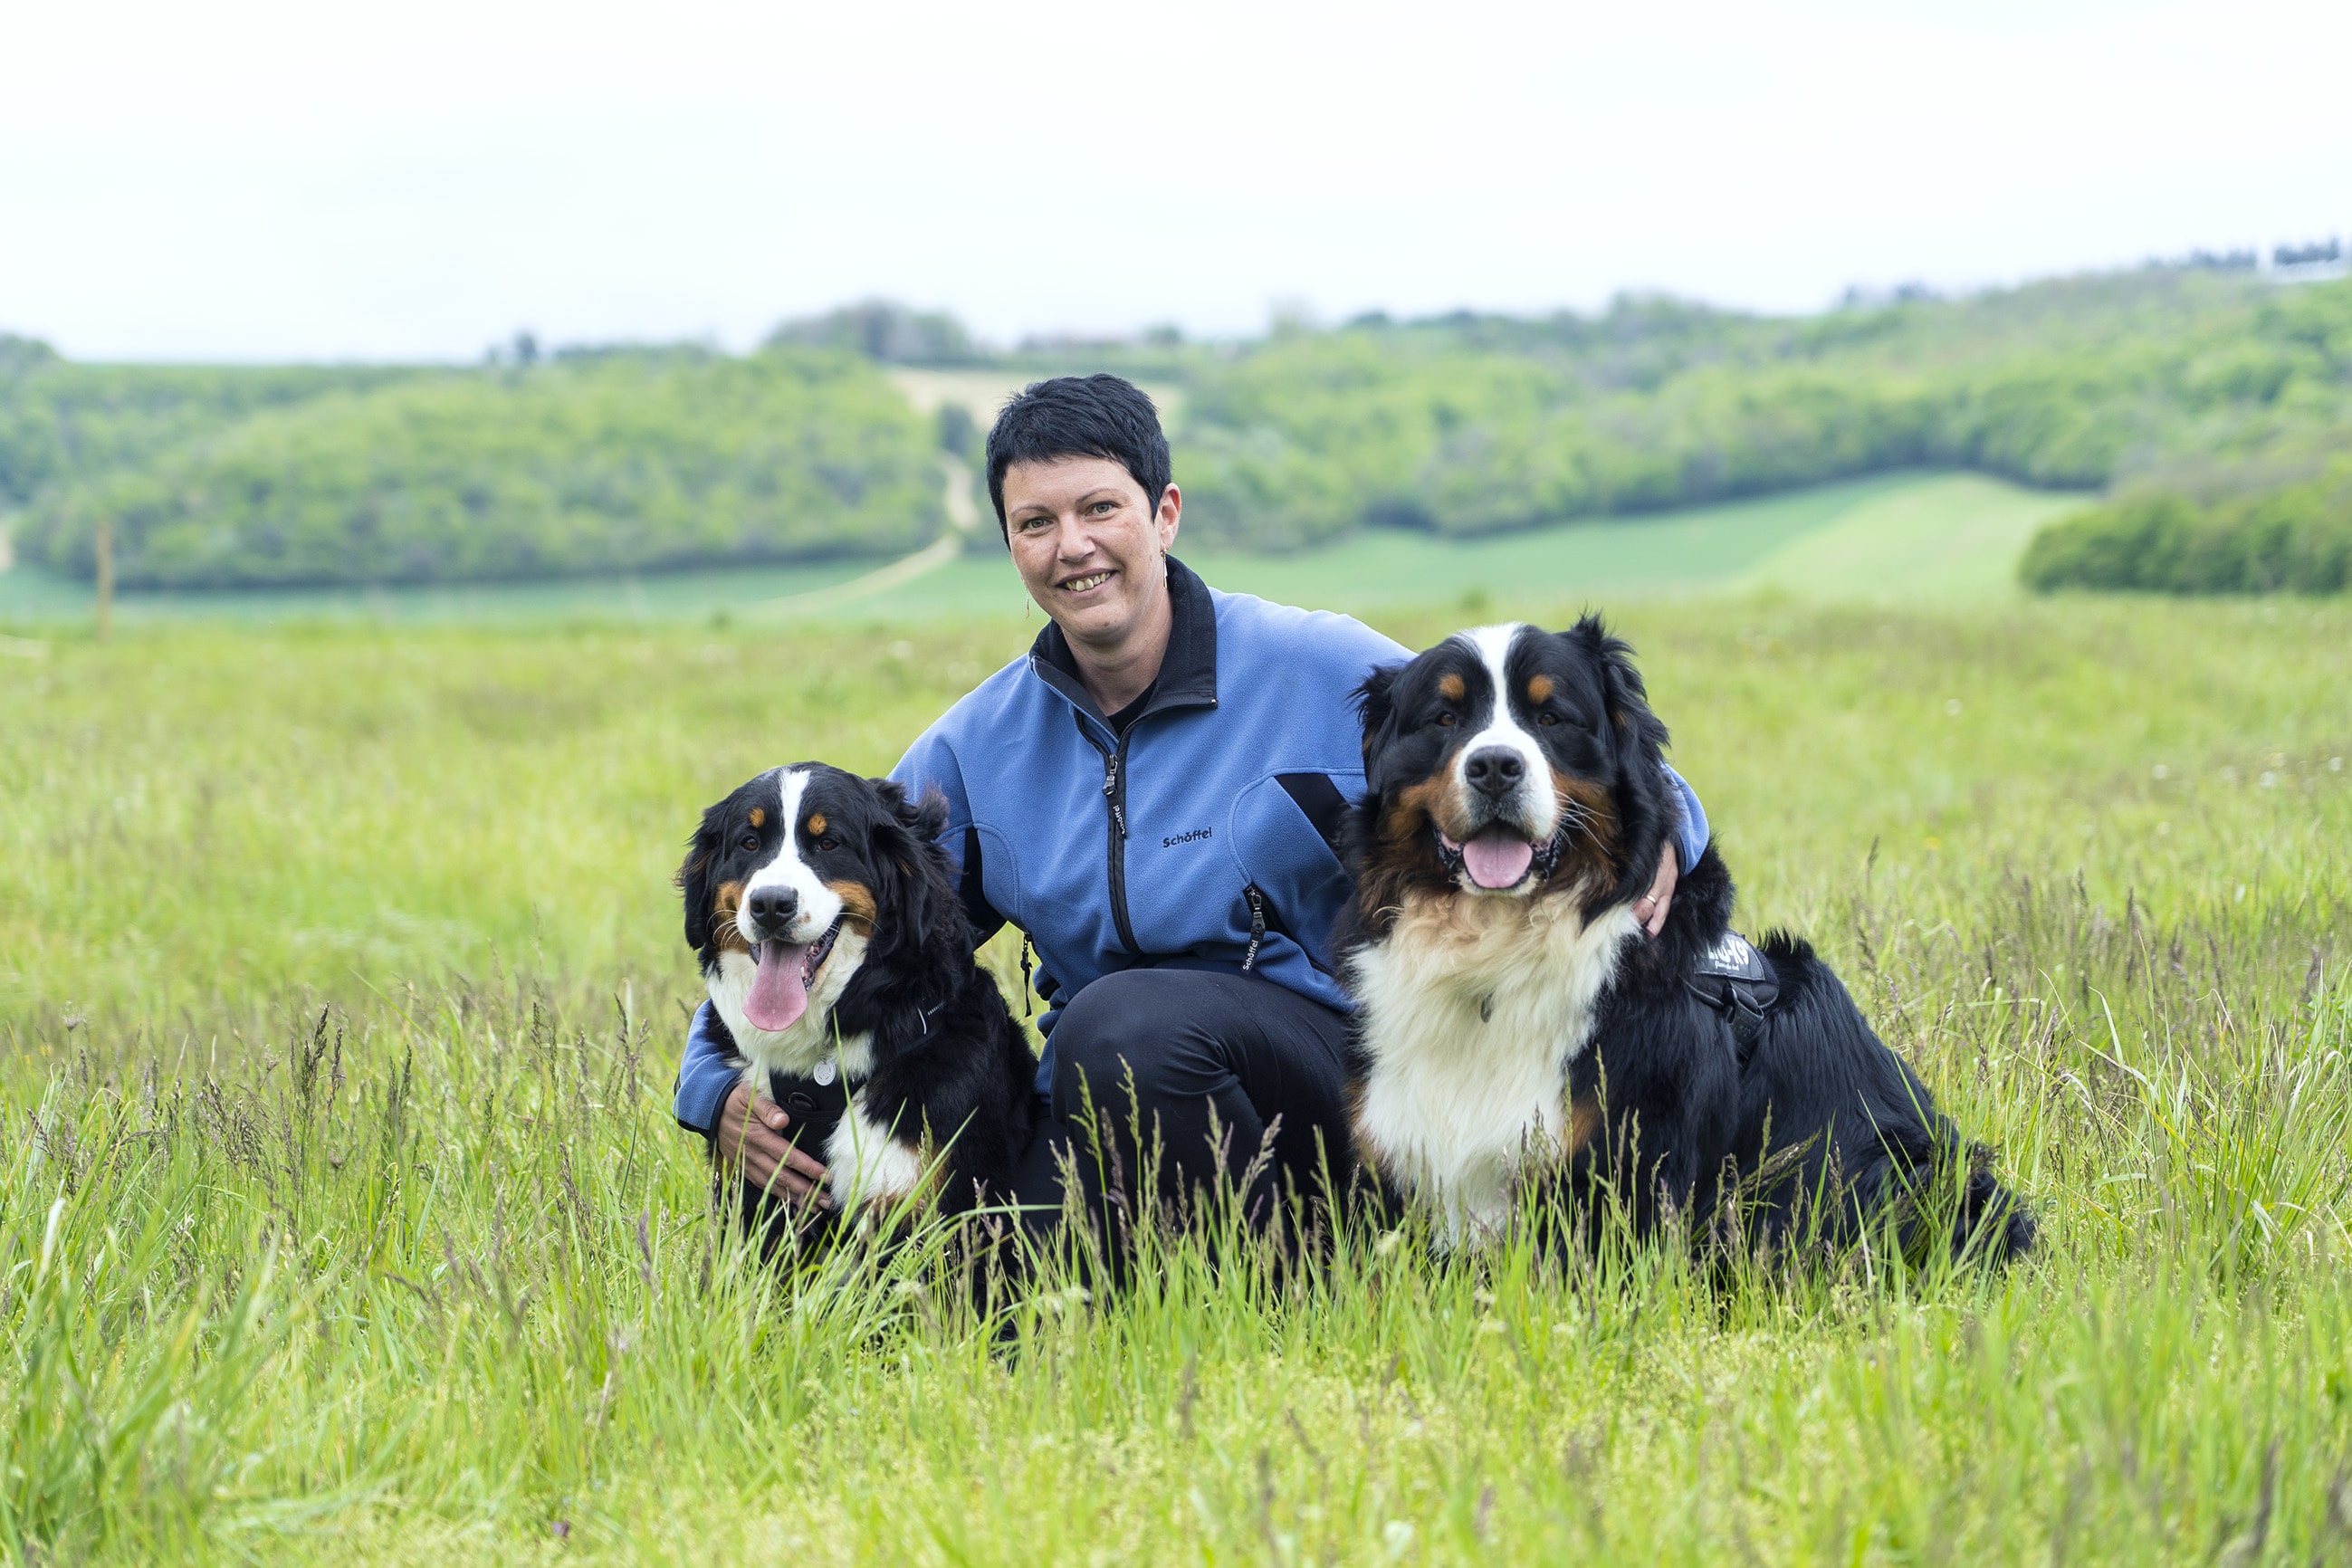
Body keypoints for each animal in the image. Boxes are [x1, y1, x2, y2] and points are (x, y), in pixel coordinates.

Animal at [1345, 620, 2041, 1259]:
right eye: (1444, 718)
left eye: (1551, 716)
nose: (1494, 766)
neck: (1498, 949)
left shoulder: (1632, 1165)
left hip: (1910, 1172)